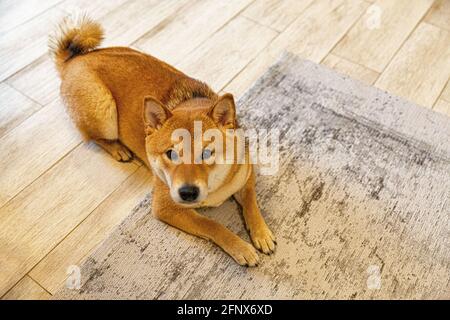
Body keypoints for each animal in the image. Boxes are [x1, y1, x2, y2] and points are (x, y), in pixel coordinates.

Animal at [49, 14, 274, 264]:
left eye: (207, 153)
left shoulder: (246, 173)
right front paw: (240, 247)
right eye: (171, 154)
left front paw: (261, 232)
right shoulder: (166, 207)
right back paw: (118, 149)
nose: (187, 192)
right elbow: (212, 225)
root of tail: (74, 60)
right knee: (93, 137)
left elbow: (252, 202)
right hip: (104, 112)